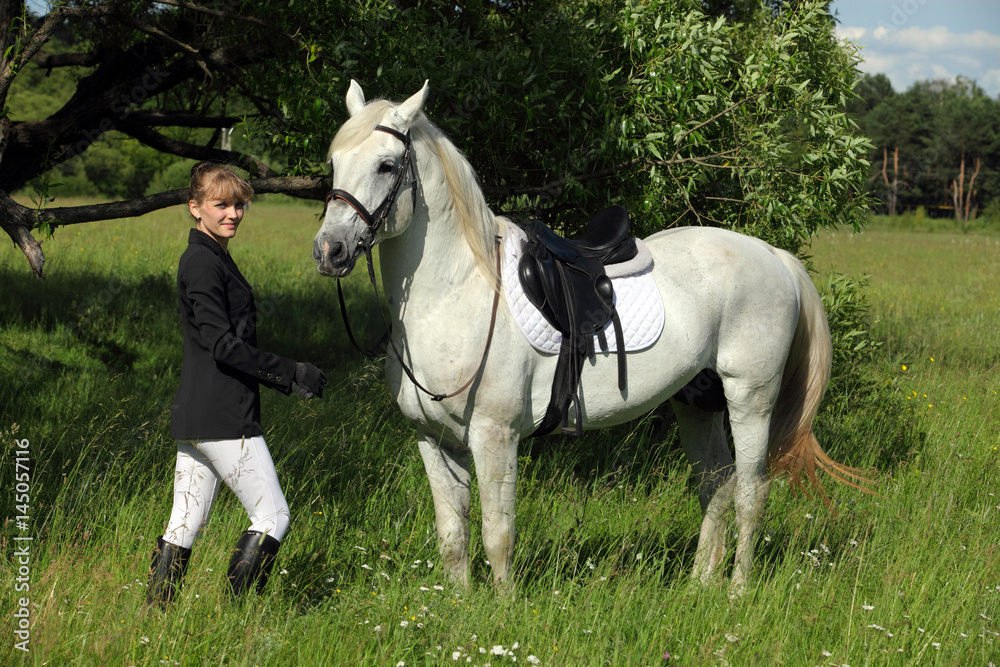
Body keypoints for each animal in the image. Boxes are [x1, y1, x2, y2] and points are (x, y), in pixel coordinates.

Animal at [314, 81, 868, 596]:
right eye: (334, 163)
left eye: (387, 165)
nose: (329, 250)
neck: (458, 294)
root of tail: (774, 256)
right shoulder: (432, 440)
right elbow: (453, 536)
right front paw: (459, 607)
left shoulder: (495, 437)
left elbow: (497, 534)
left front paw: (501, 611)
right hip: (697, 402)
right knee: (716, 483)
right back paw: (698, 587)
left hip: (750, 398)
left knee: (752, 491)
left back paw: (735, 593)